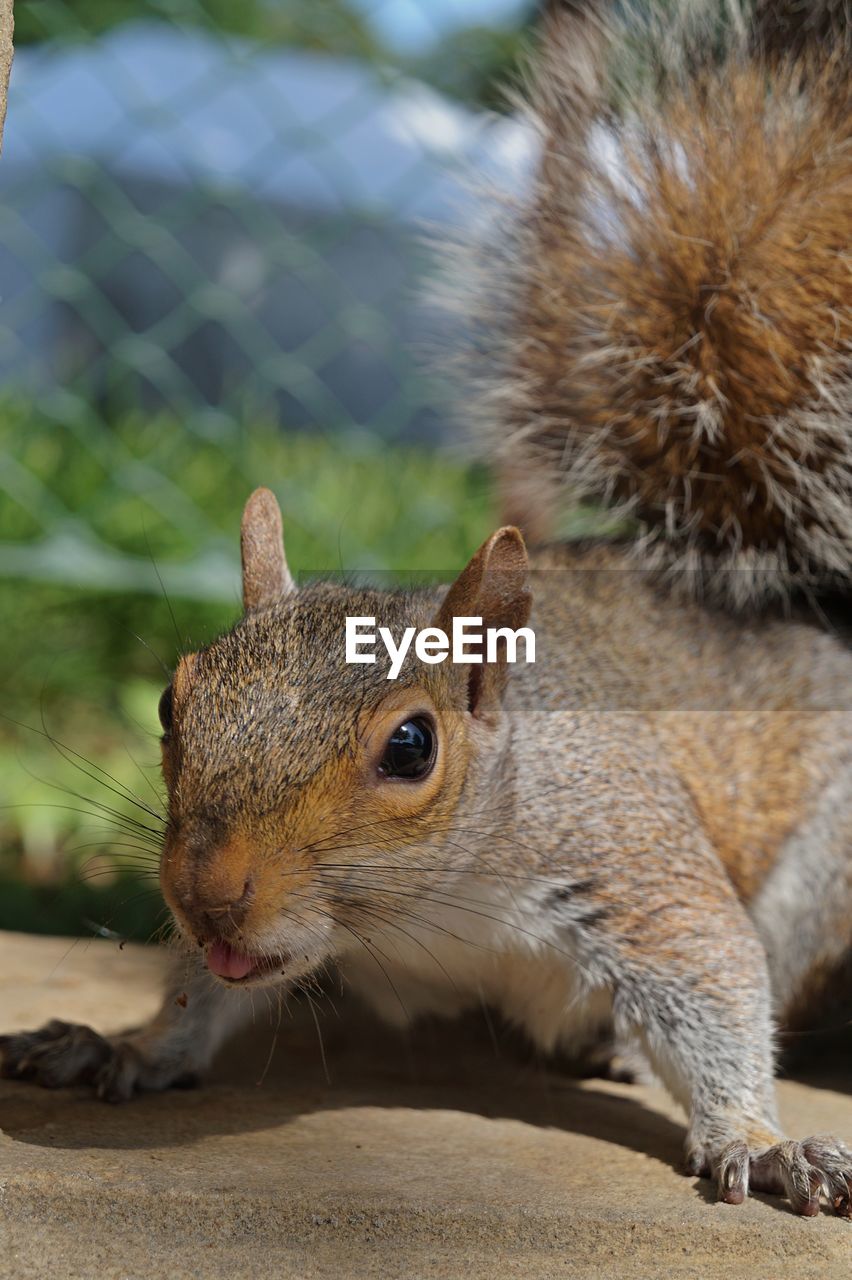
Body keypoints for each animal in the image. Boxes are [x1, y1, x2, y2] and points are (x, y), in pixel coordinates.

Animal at [1, 0, 849, 1218]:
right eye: (170, 702)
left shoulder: (631, 857)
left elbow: (716, 975)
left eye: (412, 746)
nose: (207, 897)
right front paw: (130, 1046)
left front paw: (761, 1139)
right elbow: (205, 997)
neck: (426, 911)